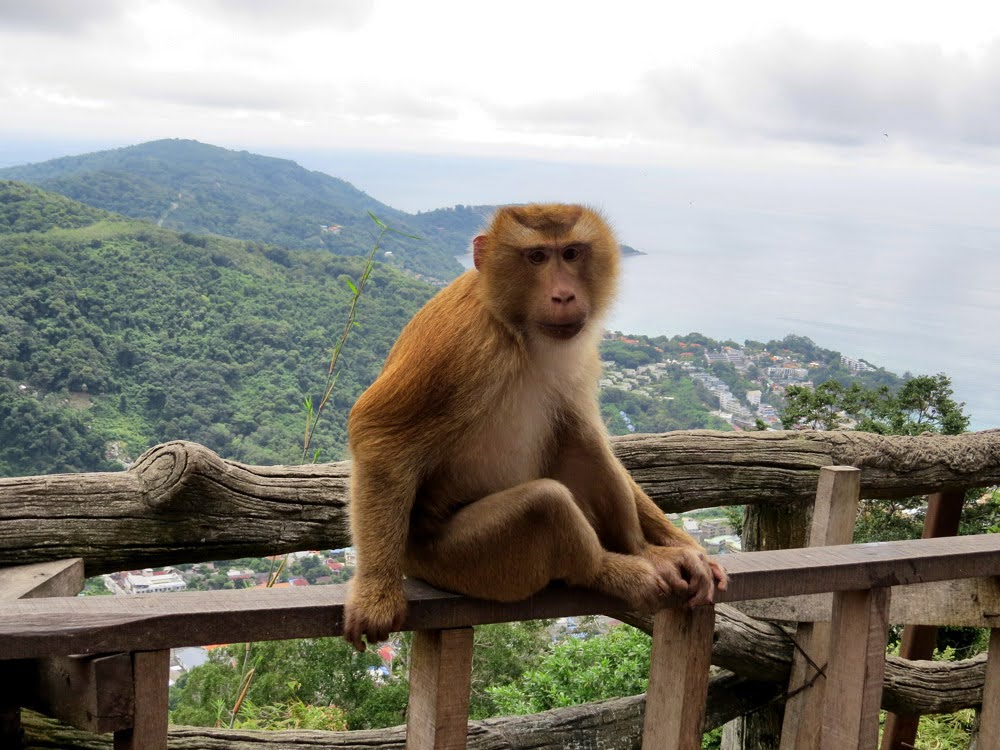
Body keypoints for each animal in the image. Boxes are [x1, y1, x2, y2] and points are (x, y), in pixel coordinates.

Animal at [344, 204, 728, 652]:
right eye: (537, 257)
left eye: (572, 253)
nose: (563, 295)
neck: (516, 329)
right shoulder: (459, 343)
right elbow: (379, 434)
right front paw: (375, 595)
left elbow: (586, 431)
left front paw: (682, 546)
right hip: (454, 559)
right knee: (544, 503)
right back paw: (606, 569)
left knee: (580, 436)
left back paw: (642, 551)